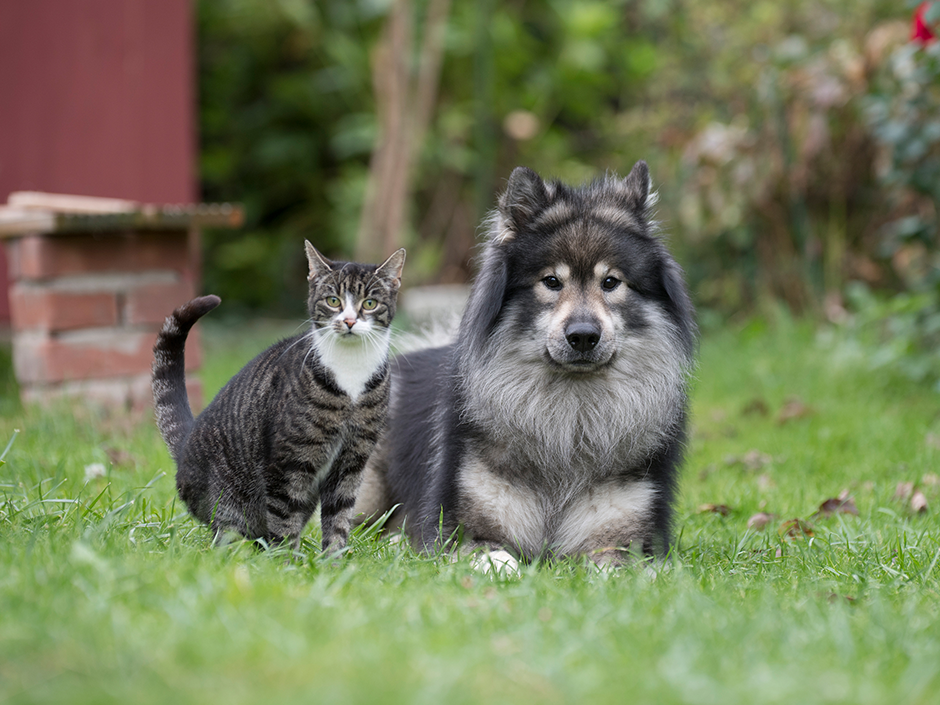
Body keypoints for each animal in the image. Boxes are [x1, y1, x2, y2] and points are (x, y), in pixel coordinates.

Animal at [151, 239, 404, 552]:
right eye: (333, 301)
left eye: (369, 303)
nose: (348, 321)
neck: (351, 371)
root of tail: (185, 445)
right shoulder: (288, 461)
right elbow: (285, 518)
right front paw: (288, 561)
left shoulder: (353, 461)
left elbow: (339, 515)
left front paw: (335, 558)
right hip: (230, 507)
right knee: (228, 537)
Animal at [356, 161, 692, 568]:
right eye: (551, 281)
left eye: (611, 282)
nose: (583, 336)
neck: (570, 420)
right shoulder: (470, 533)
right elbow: (499, 560)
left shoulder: (623, 543)